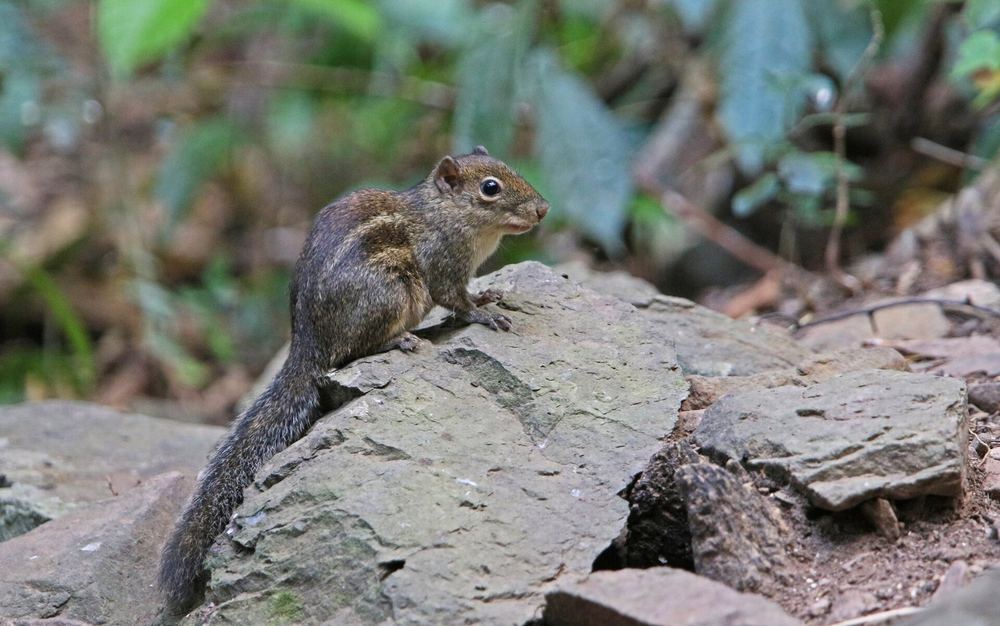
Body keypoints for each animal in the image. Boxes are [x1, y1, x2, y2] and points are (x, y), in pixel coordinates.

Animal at [157, 145, 549, 613]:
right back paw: (400, 340)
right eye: (491, 188)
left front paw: (488, 295)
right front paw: (482, 313)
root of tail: (306, 345)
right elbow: (456, 300)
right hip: (390, 292)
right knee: (351, 352)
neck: (442, 214)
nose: (543, 209)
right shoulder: (443, 266)